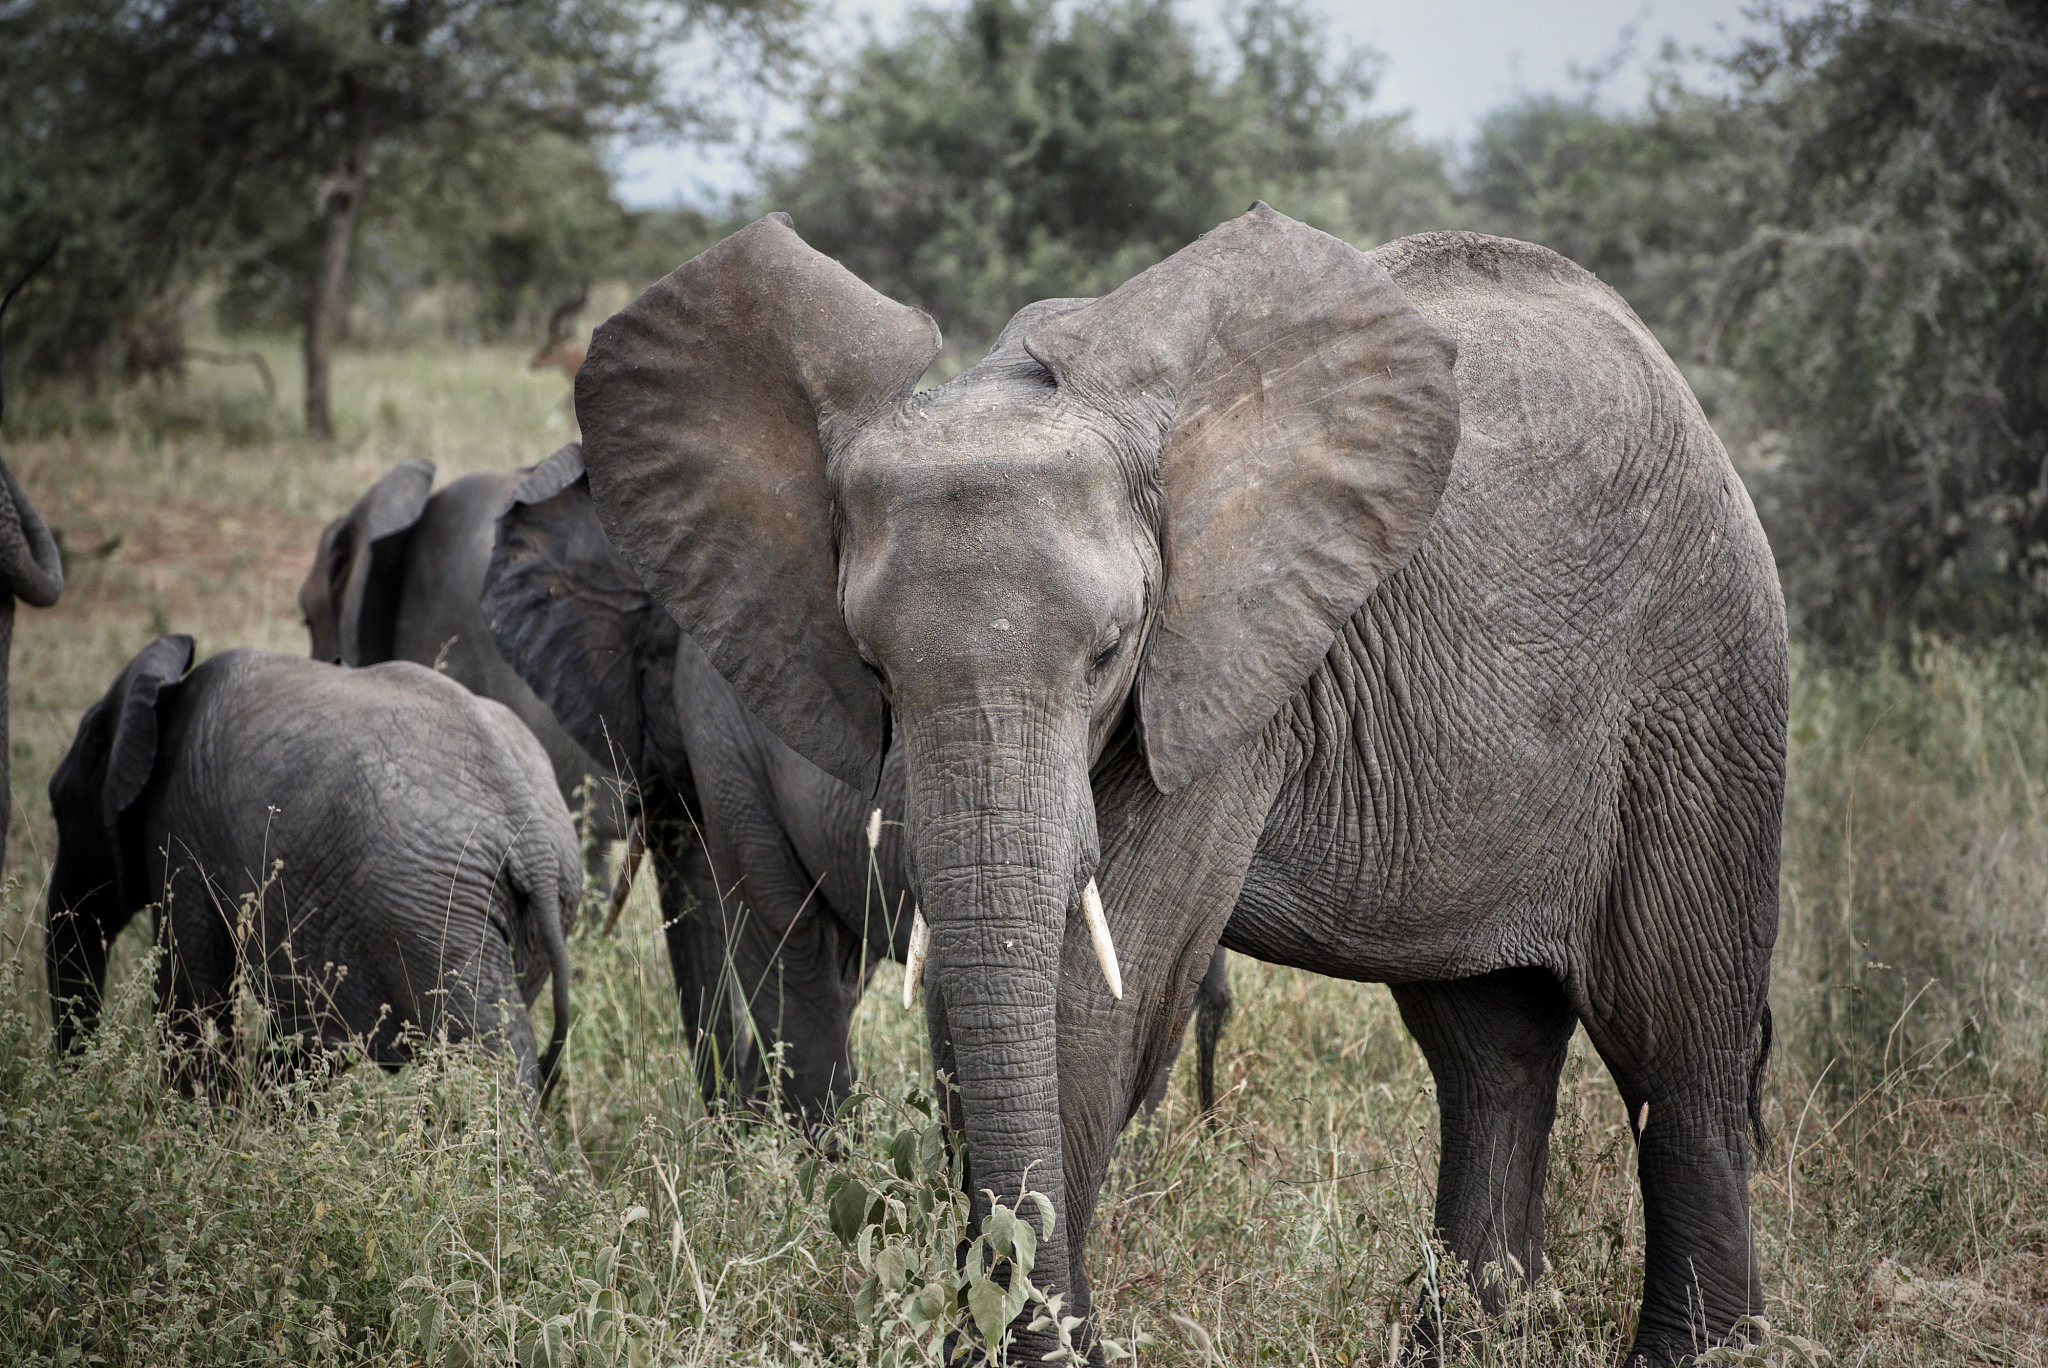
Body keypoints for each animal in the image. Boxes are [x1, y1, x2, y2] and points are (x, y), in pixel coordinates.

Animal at [44, 637, 582, 1117]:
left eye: (59, 805)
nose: (72, 1087)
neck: (164, 694)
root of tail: (533, 839)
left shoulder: (179, 829)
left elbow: (189, 990)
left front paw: (203, 1126)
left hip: (434, 912)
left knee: (485, 1053)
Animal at [575, 206, 1787, 1365]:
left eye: (1110, 653)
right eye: (871, 669)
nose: (1041, 1330)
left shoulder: (1228, 672)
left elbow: (1089, 1002)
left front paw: (1041, 1350)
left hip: (1700, 685)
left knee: (1675, 1042)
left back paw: (1698, 1354)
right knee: (1487, 1050)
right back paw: (1466, 1345)